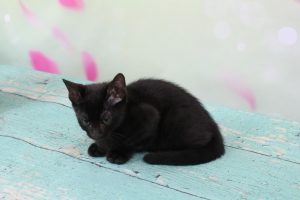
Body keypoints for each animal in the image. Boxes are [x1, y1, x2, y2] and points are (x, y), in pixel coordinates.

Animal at [62, 74, 224, 166]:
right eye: (85, 120)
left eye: (106, 118)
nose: (96, 133)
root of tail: (213, 124)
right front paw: (99, 147)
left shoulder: (151, 117)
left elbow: (131, 142)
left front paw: (118, 153)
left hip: (176, 117)